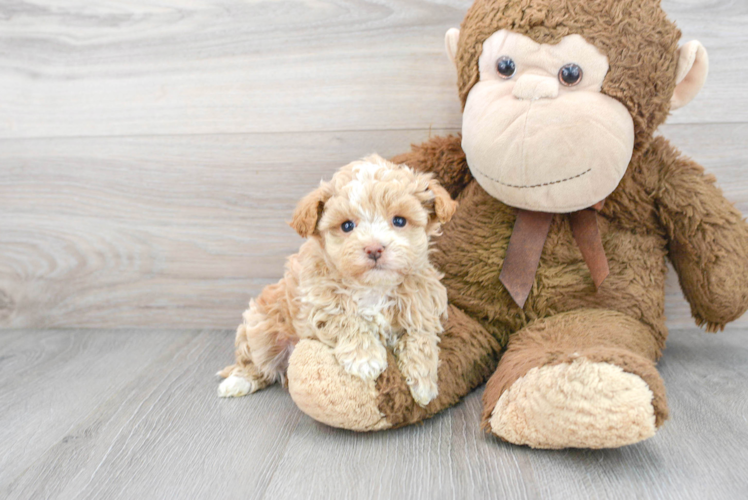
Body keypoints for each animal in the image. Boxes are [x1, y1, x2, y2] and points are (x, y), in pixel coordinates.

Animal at [216, 155, 456, 406]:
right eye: (347, 226)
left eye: (399, 221)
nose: (374, 248)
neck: (373, 288)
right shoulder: (317, 300)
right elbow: (346, 319)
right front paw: (365, 359)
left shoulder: (422, 303)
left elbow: (421, 337)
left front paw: (424, 383)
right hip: (262, 328)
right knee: (256, 362)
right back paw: (237, 382)